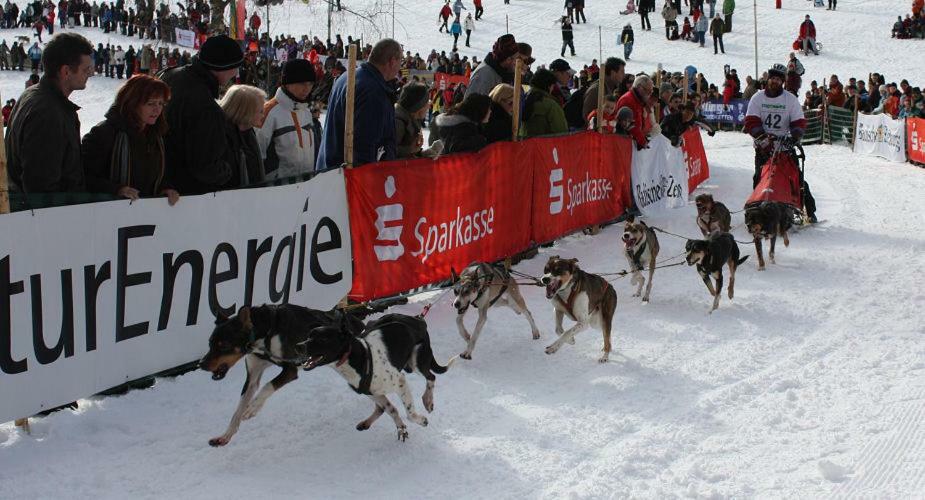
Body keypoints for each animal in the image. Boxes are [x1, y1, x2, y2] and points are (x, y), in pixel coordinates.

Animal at [199, 304, 364, 450]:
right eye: (210, 343)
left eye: (223, 345)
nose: (201, 364)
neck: (267, 332)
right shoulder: (252, 379)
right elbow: (237, 411)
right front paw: (225, 436)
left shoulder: (290, 369)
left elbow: (267, 386)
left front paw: (253, 408)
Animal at [302, 312, 456, 442]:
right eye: (308, 336)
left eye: (322, 338)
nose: (299, 346)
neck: (363, 356)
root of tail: (418, 319)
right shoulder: (371, 392)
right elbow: (391, 409)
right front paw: (401, 428)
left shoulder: (400, 382)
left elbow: (410, 414)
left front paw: (420, 420)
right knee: (381, 408)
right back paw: (366, 423)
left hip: (417, 362)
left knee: (431, 377)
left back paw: (428, 400)